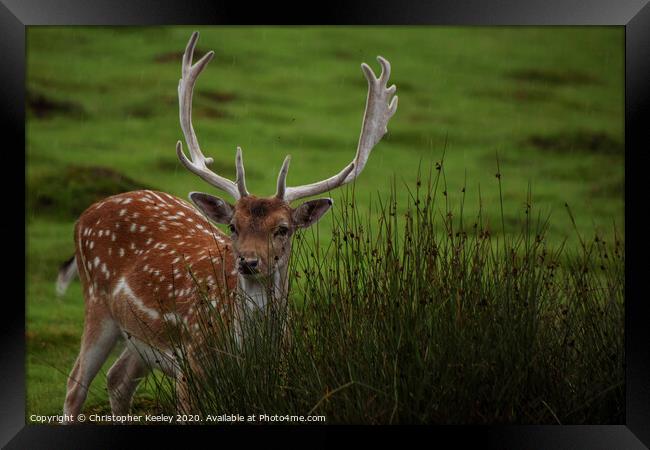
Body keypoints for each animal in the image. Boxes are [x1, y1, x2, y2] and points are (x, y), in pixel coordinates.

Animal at [59, 30, 394, 418]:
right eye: (233, 226)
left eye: (283, 229)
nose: (248, 262)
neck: (246, 352)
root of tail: (86, 213)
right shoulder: (191, 363)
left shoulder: (280, 368)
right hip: (97, 301)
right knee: (75, 385)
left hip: (140, 339)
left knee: (118, 378)